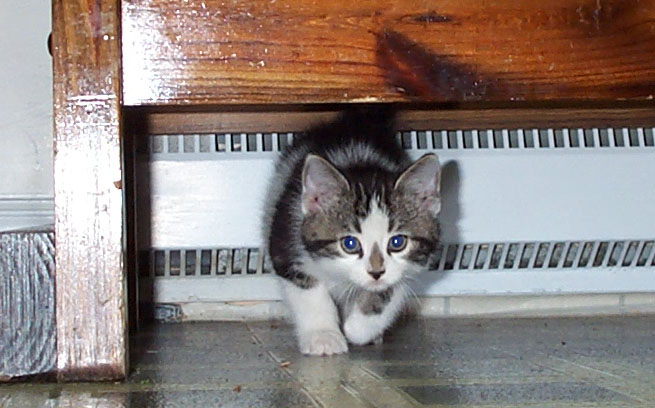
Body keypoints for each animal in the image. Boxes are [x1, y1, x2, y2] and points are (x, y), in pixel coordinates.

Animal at [263, 108, 441, 355]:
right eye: (349, 244)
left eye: (398, 243)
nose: (375, 272)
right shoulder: (286, 242)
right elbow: (309, 291)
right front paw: (323, 336)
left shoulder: (415, 264)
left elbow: (392, 290)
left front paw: (358, 328)